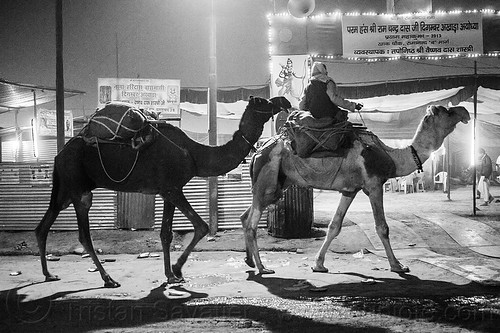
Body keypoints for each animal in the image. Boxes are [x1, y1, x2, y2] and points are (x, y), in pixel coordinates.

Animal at [35, 94, 292, 286]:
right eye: (263, 101)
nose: (285, 101)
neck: (194, 154)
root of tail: (59, 154)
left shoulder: (168, 191)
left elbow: (166, 234)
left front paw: (170, 275)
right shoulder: (173, 188)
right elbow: (201, 226)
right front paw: (177, 270)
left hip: (64, 188)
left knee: (43, 226)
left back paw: (49, 274)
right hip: (78, 188)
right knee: (83, 234)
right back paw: (108, 279)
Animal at [240, 105, 470, 274]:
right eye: (447, 111)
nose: (464, 111)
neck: (392, 156)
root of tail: (257, 152)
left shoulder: (350, 190)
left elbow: (334, 226)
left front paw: (319, 264)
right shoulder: (374, 185)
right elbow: (382, 227)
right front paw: (398, 266)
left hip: (279, 182)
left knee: (245, 216)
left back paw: (249, 262)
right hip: (269, 181)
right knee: (252, 222)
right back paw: (263, 267)